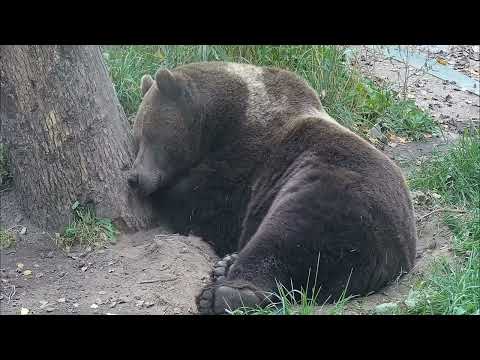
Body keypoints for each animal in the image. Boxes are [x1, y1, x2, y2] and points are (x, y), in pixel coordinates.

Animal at [129, 62, 418, 316]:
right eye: (137, 137)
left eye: (150, 134)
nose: (134, 177)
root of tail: (396, 255)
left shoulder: (245, 162)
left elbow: (203, 205)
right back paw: (226, 266)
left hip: (335, 197)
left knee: (286, 238)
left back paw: (223, 294)